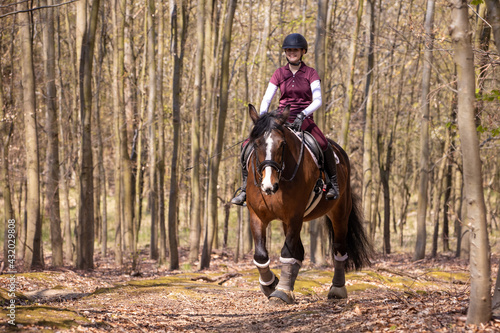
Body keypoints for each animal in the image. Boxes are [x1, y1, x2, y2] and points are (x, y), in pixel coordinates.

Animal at [246, 104, 372, 304]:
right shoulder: (257, 216)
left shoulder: (295, 216)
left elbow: (287, 253)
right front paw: (270, 285)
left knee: (338, 249)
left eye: (282, 144)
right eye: (256, 143)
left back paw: (337, 289)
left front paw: (281, 291)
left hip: (340, 213)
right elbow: (260, 255)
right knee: (299, 251)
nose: (268, 185)